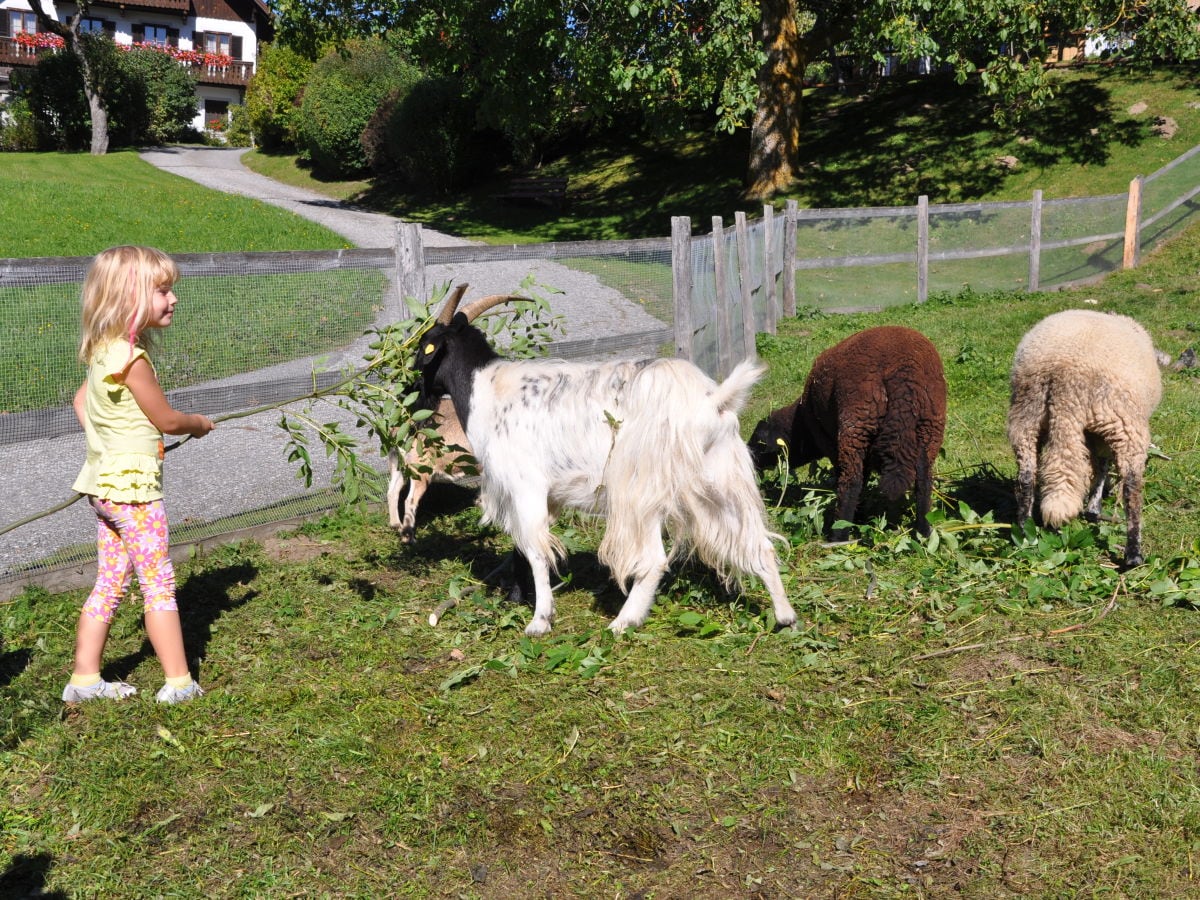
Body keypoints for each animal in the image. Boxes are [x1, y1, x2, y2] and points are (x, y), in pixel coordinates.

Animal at [412, 292, 796, 638]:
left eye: (425, 346)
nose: (412, 394)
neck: (489, 391)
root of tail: (713, 402)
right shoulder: (546, 496)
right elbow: (523, 549)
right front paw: (517, 598)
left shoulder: (525, 485)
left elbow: (536, 551)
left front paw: (539, 620)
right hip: (722, 477)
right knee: (760, 544)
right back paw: (785, 617)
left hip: (640, 488)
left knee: (654, 558)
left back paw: (624, 622)